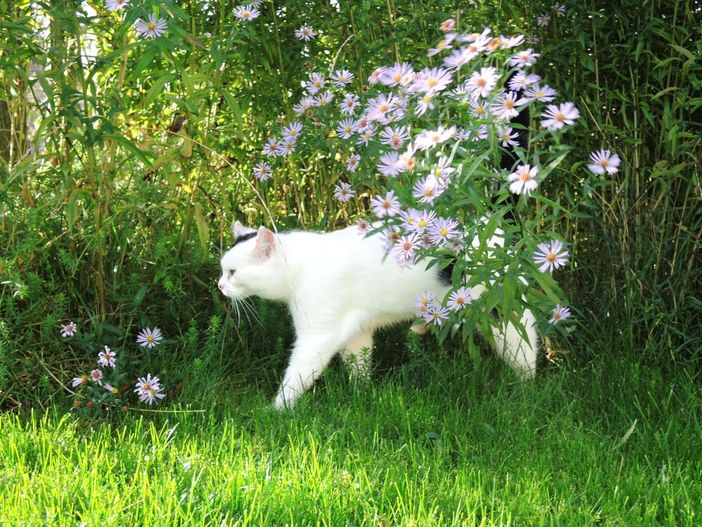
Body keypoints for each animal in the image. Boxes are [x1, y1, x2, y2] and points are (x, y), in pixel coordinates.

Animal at [220, 221, 540, 410]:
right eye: (223, 270)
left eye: (232, 272)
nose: (220, 286)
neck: (300, 268)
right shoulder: (356, 332)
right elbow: (359, 367)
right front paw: (361, 397)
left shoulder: (317, 337)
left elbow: (296, 377)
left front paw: (277, 409)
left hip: (503, 319)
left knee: (526, 350)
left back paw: (526, 392)